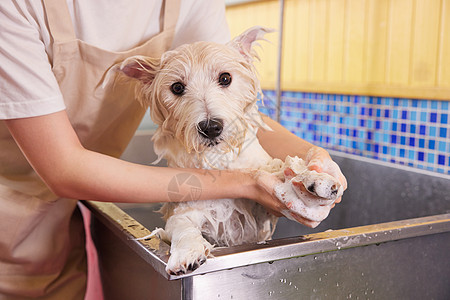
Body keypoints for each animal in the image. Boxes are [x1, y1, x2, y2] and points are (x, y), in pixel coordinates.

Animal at [108, 27, 342, 276]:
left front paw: (315, 178)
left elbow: (282, 172)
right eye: (177, 87)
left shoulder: (262, 212)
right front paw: (187, 252)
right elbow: (181, 227)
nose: (210, 127)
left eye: (225, 78)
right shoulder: (183, 211)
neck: (219, 161)